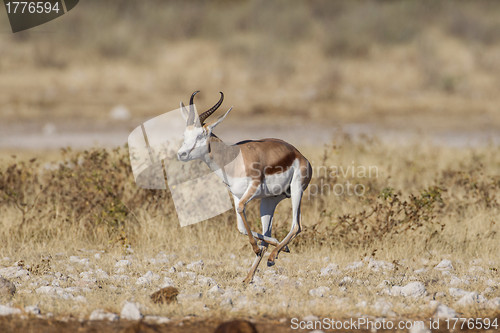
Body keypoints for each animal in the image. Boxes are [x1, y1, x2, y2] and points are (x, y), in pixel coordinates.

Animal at [177, 91, 312, 282]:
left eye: (200, 135)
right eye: (185, 134)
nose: (181, 154)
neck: (232, 159)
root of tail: (300, 155)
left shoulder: (251, 190)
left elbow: (241, 209)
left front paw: (257, 248)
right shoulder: (236, 194)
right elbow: (241, 227)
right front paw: (275, 247)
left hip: (296, 190)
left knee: (296, 226)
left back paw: (272, 257)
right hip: (268, 201)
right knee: (267, 235)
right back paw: (252, 274)